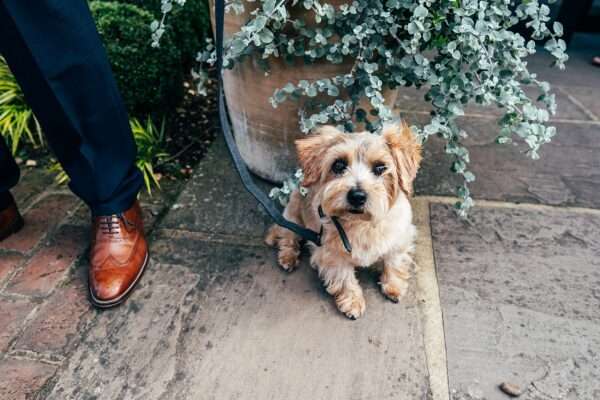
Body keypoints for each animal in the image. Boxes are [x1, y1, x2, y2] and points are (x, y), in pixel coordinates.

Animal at [268, 122, 422, 318]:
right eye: (339, 165)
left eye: (380, 168)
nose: (357, 196)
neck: (362, 224)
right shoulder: (332, 254)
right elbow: (344, 278)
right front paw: (353, 301)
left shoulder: (399, 239)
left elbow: (394, 262)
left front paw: (393, 286)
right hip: (292, 217)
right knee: (287, 238)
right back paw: (288, 258)